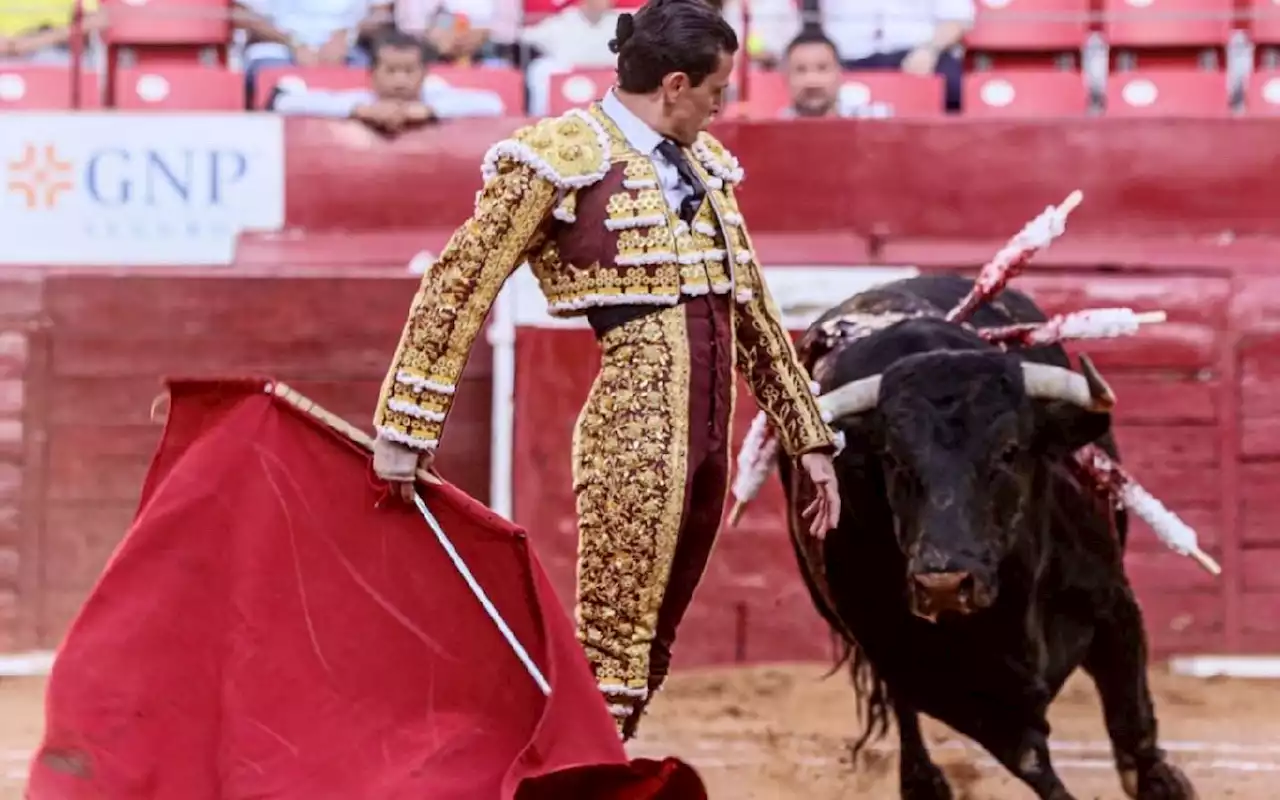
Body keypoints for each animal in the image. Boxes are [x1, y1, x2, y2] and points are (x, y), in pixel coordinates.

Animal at [773, 276, 1203, 798]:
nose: (942, 583)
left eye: (1009, 451)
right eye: (892, 458)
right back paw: (923, 782)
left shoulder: (1114, 608)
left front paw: (1164, 781)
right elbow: (1031, 761)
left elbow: (1132, 724)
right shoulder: (924, 671)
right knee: (905, 714)